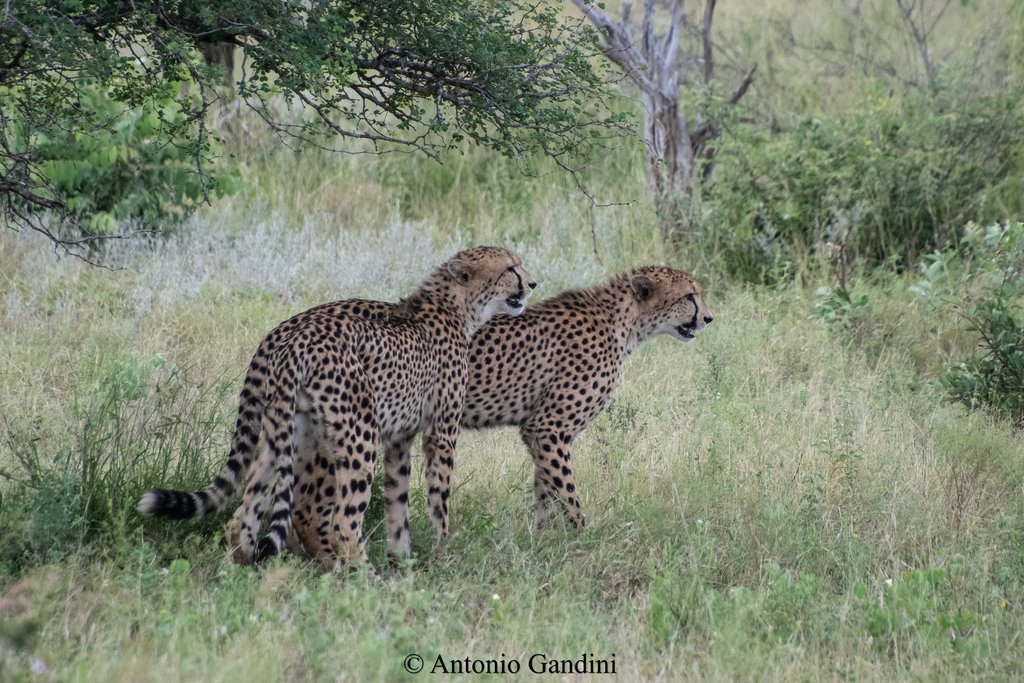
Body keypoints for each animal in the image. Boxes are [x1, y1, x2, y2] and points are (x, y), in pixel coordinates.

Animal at [137, 246, 536, 570]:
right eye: (510, 268)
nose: (532, 283)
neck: (454, 306)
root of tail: (287, 335)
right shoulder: (441, 432)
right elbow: (438, 500)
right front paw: (442, 553)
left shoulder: (399, 439)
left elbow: (398, 502)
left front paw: (404, 561)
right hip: (356, 435)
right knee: (336, 519)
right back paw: (363, 577)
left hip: (287, 432)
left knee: (246, 509)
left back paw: (246, 570)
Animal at [285, 265, 712, 562]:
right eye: (690, 296)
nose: (708, 318)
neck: (624, 322)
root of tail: (296, 323)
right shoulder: (548, 427)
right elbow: (568, 493)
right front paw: (585, 538)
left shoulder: (541, 432)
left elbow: (545, 491)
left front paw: (542, 541)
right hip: (351, 431)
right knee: (310, 511)